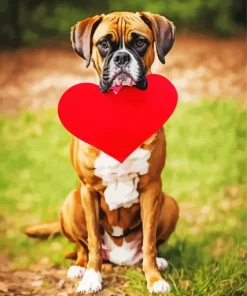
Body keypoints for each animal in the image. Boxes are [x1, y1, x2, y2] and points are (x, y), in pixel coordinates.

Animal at [25, 11, 179, 294]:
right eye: (104, 44)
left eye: (140, 42)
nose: (122, 57)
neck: (122, 110)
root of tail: (119, 259)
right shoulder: (88, 190)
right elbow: (94, 242)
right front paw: (91, 277)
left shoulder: (152, 188)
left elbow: (150, 242)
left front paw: (154, 278)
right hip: (71, 202)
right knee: (81, 247)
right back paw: (79, 268)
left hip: (169, 203)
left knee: (150, 245)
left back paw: (159, 263)